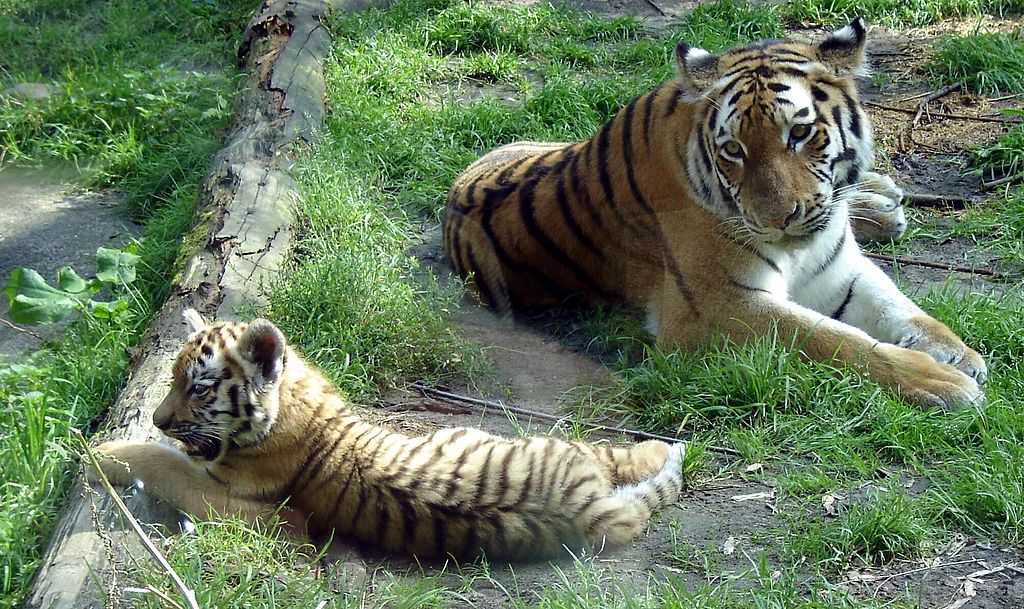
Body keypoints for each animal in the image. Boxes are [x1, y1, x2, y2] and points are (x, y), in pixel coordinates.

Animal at [92, 311, 684, 560]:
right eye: (171, 379)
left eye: (197, 387)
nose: (160, 419)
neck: (295, 402)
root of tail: (590, 512)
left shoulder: (241, 499)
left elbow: (166, 463)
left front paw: (102, 452)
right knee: (616, 458)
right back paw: (667, 447)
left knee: (615, 455)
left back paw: (669, 447)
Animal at [444, 19, 987, 409]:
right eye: (733, 150)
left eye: (800, 133)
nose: (777, 219)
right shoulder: (715, 308)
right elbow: (831, 339)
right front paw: (941, 379)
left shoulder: (839, 269)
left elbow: (898, 305)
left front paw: (956, 351)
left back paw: (879, 199)